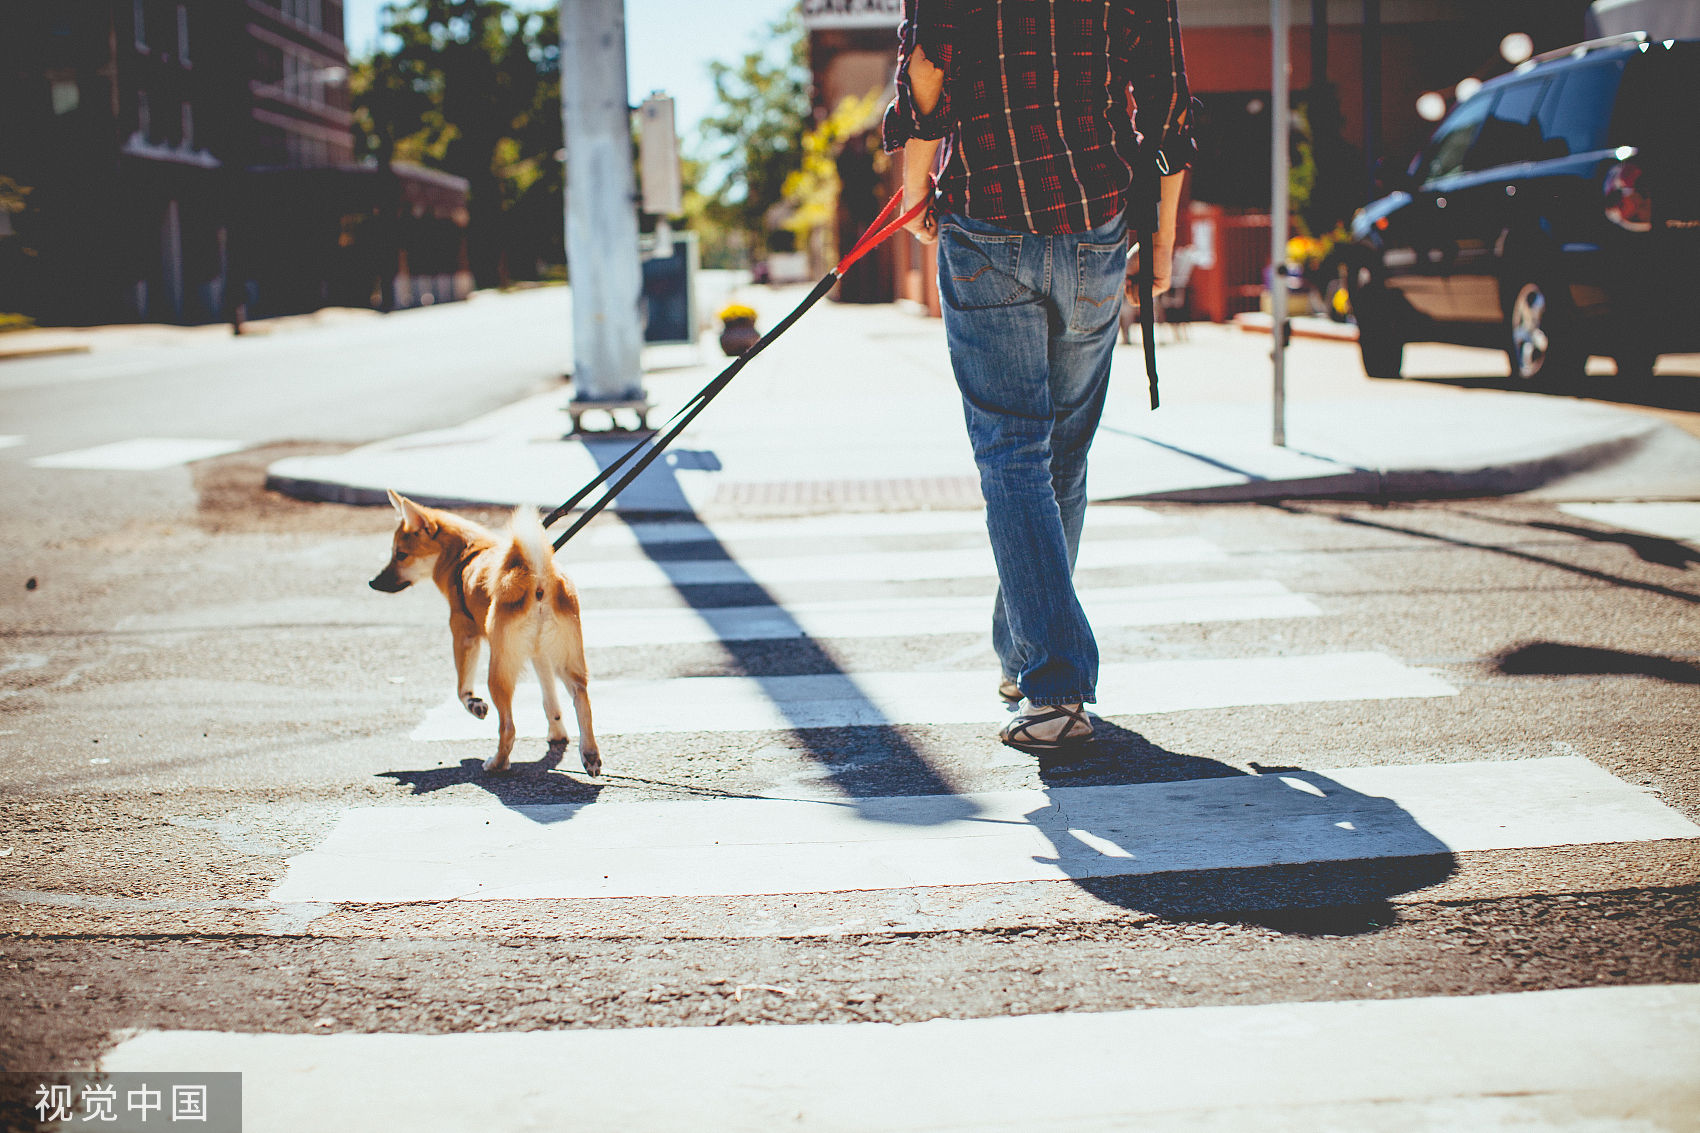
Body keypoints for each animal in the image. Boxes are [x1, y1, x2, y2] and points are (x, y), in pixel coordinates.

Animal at [368, 489, 601, 772]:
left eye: (400, 554)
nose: (373, 582)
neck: (466, 555)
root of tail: (535, 577)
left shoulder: (464, 636)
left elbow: (461, 689)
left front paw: (474, 704)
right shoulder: (540, 655)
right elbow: (551, 703)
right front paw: (557, 734)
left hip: (498, 671)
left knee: (508, 728)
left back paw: (497, 763)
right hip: (568, 663)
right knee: (582, 701)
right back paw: (589, 755)